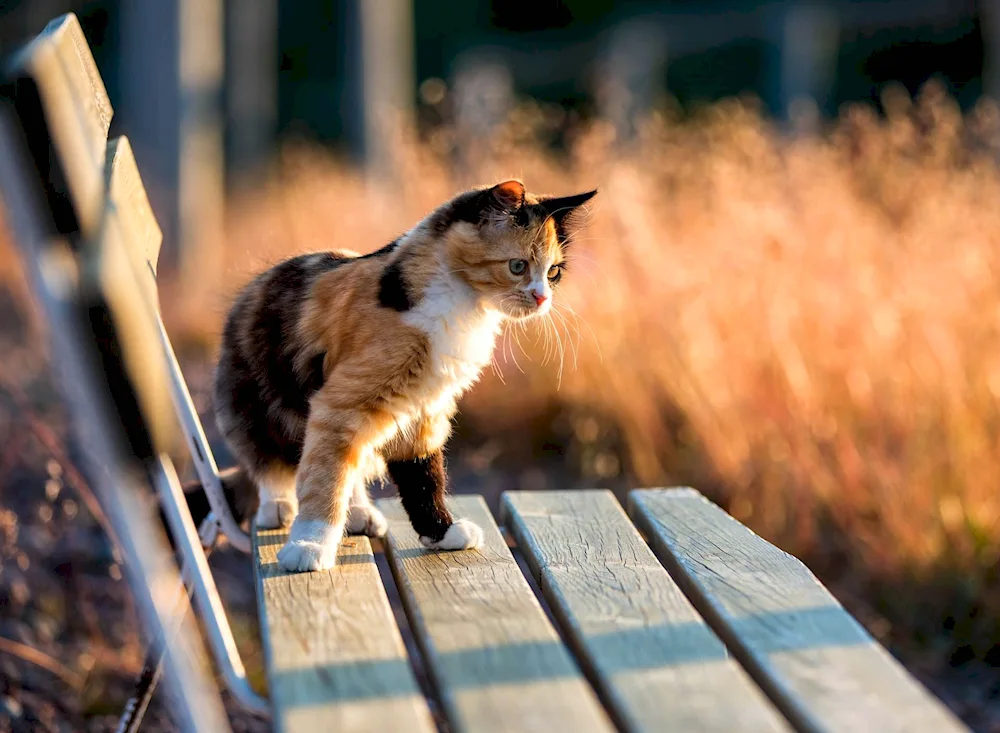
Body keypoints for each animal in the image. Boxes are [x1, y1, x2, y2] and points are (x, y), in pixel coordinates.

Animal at [211, 179, 592, 572]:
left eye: (553, 272)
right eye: (518, 266)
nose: (542, 299)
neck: (460, 305)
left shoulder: (424, 407)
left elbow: (422, 476)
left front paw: (441, 531)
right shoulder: (340, 404)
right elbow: (324, 480)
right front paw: (310, 545)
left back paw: (358, 512)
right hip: (258, 405)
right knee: (272, 462)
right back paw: (277, 508)